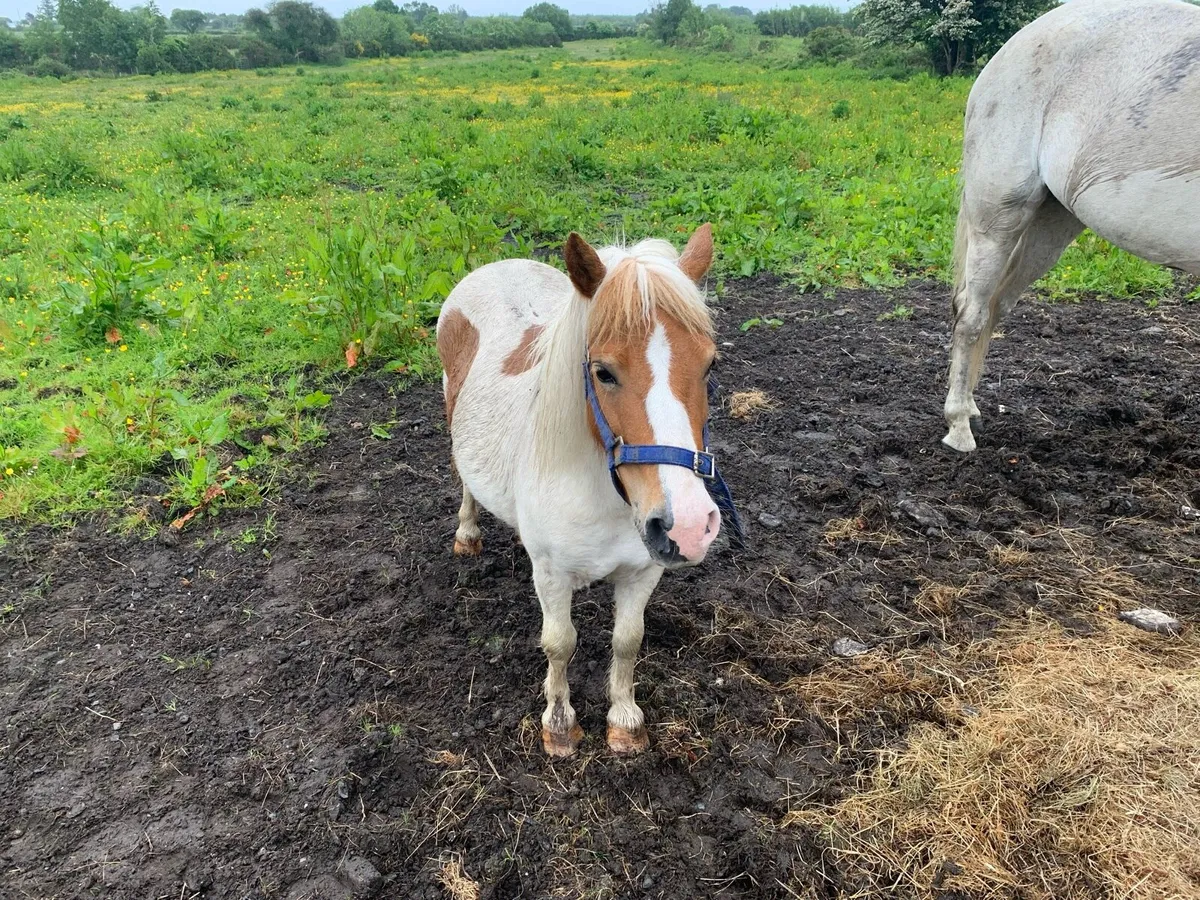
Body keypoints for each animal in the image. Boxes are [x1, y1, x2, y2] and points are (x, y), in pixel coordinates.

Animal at [436, 225, 744, 757]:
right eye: (603, 372)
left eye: (710, 365)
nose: (686, 525)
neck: (608, 498)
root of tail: (499, 265)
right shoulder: (553, 576)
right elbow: (560, 644)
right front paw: (559, 726)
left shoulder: (643, 571)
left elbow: (627, 640)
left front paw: (625, 721)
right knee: (466, 483)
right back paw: (468, 535)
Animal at [943, 0, 1200, 453]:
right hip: (998, 216)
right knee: (972, 314)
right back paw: (958, 426)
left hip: (1054, 223)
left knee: (995, 306)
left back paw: (970, 408)